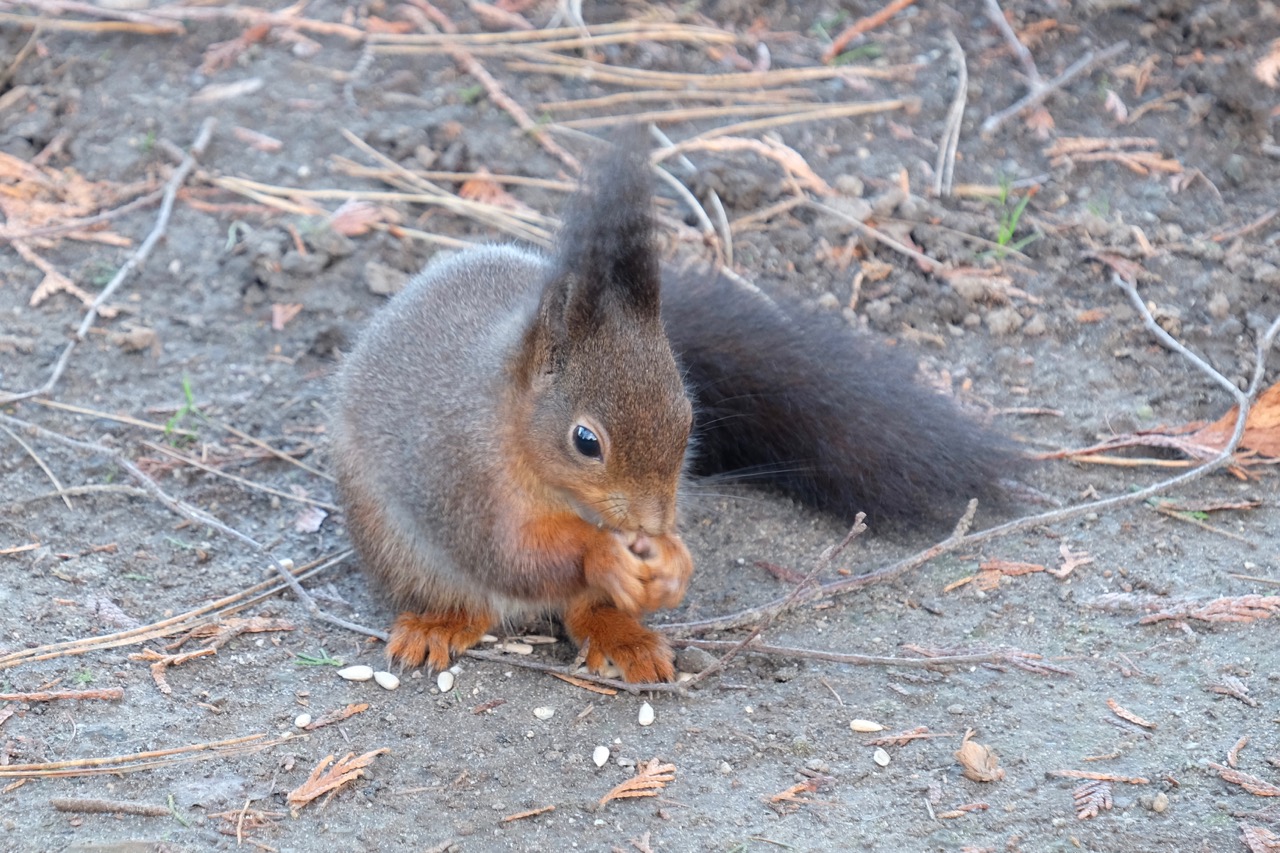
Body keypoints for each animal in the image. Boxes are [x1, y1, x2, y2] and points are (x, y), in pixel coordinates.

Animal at [331, 138, 1017, 683]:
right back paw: (438, 625)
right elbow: (510, 553)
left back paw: (626, 636)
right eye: (585, 441)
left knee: (586, 611)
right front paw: (604, 554)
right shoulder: (462, 478)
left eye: (688, 418)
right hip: (398, 545)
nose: (651, 525)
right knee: (471, 595)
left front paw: (675, 560)